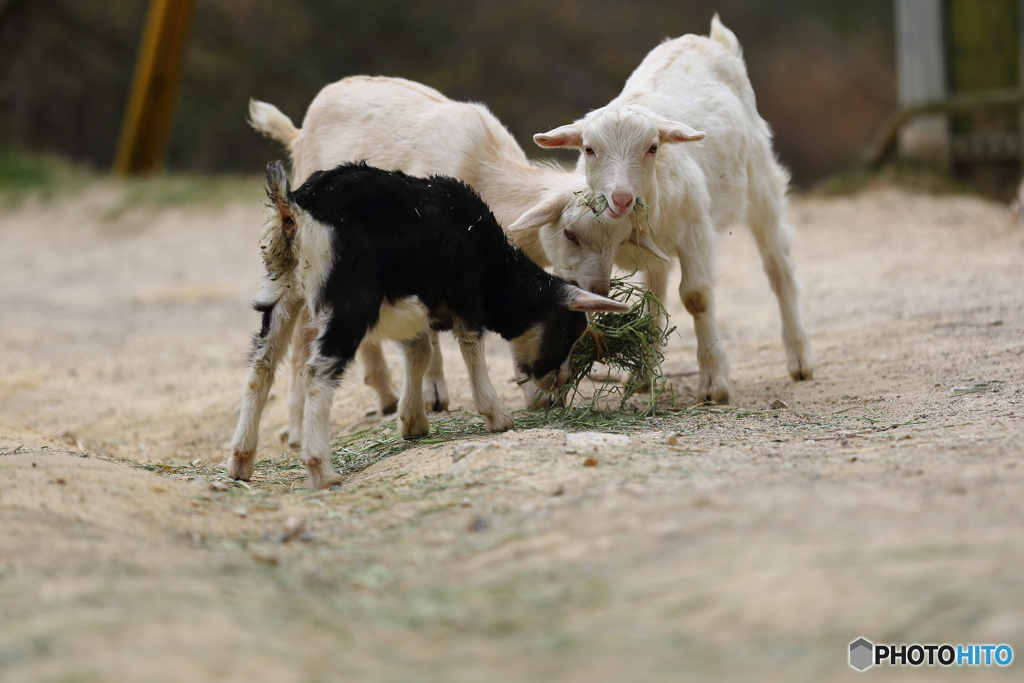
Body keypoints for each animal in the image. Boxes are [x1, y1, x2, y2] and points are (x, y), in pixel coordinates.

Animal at [536, 13, 815, 403]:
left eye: (653, 147)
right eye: (589, 149)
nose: (621, 198)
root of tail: (707, 40)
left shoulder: (696, 228)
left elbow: (696, 297)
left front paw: (713, 382)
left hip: (761, 183)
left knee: (778, 267)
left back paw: (800, 360)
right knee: (656, 294)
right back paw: (642, 377)